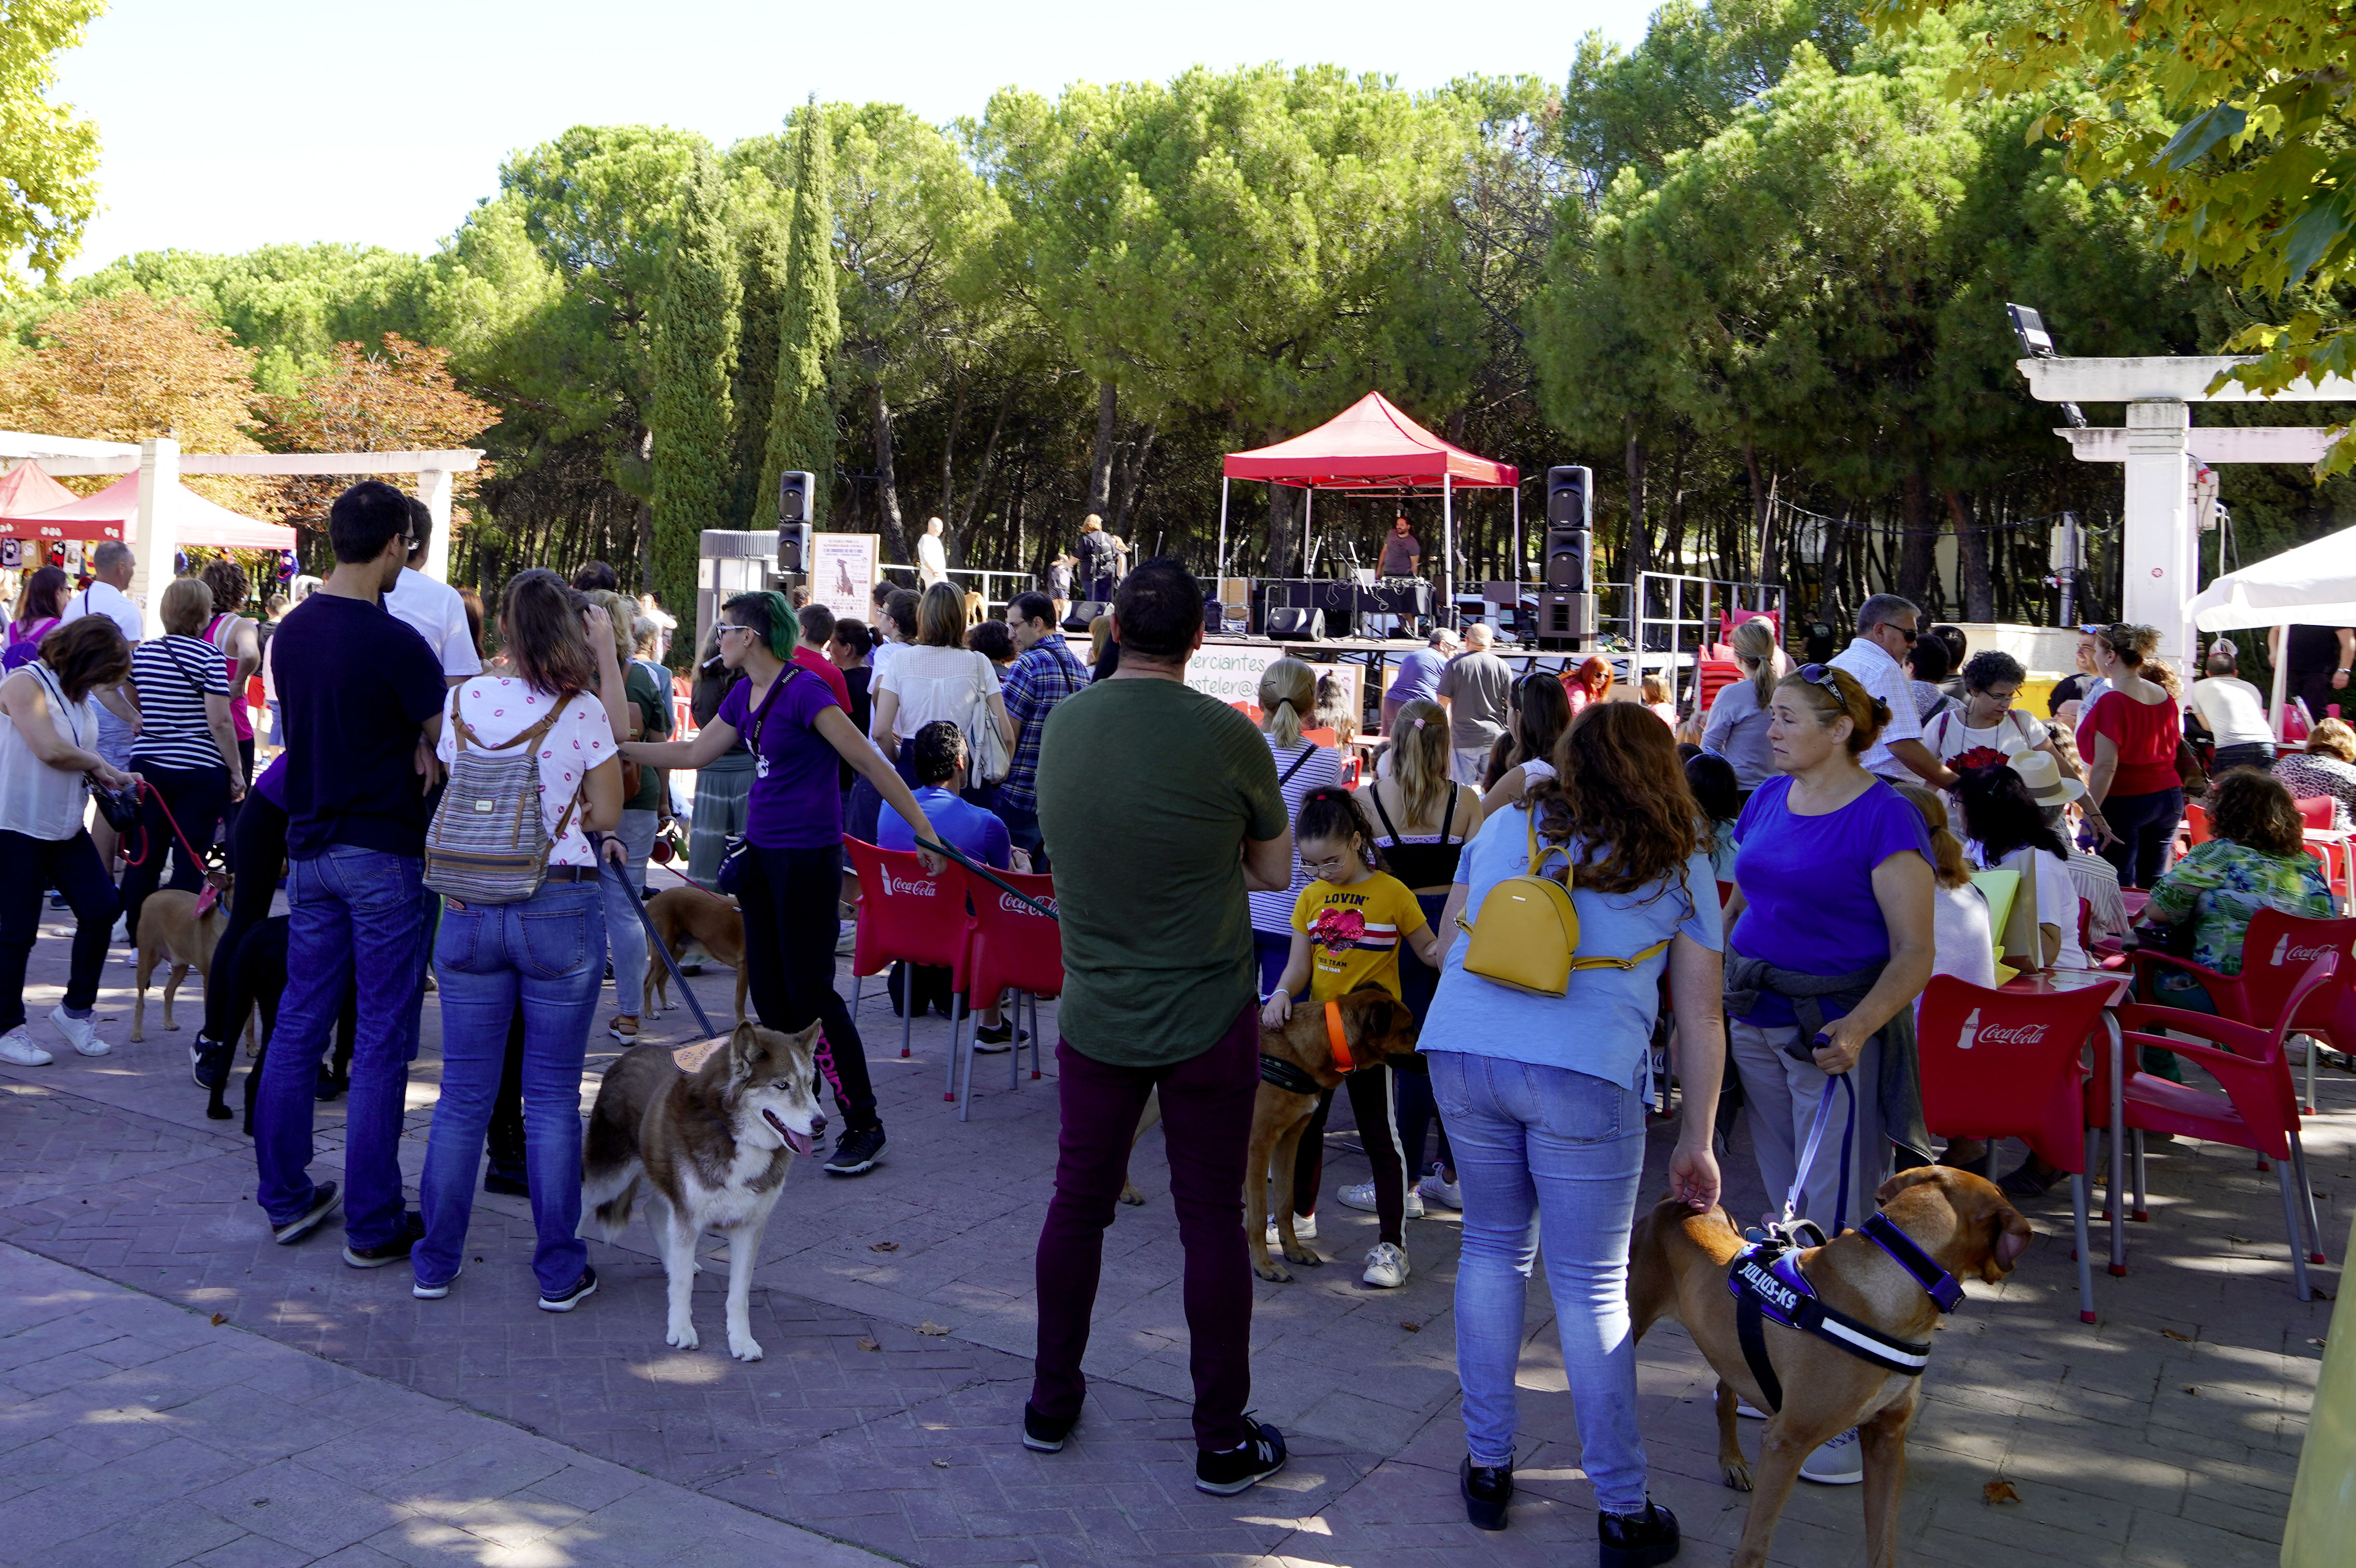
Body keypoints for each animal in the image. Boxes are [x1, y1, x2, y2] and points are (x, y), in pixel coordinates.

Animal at [131, 881, 234, 1042]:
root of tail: (153, 896)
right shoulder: (211, 980)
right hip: (148, 961)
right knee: (140, 1000)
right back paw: (137, 1033)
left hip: (181, 966)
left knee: (168, 992)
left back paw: (168, 1022)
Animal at [580, 1021, 825, 1361]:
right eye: (781, 1086)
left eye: (809, 1083)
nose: (821, 1124)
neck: (733, 1134)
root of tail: (629, 1055)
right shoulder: (688, 1214)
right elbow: (683, 1286)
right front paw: (681, 1330)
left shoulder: (748, 1226)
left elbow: (739, 1294)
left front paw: (742, 1341)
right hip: (611, 1178)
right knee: (579, 1204)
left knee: (653, 1211)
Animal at [641, 885, 748, 1026]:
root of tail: (654, 900)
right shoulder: (745, 967)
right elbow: (740, 1000)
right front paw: (742, 1021)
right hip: (662, 950)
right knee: (648, 983)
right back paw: (649, 1012)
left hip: (673, 954)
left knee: (661, 980)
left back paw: (665, 1005)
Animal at [1245, 986, 1422, 1282]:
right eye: (1409, 1029)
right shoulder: (1259, 1146)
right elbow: (1257, 1215)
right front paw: (1263, 1265)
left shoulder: (1288, 1142)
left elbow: (1285, 1202)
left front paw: (1293, 1250)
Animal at [1627, 1166, 2034, 1568]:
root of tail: (1675, 1202)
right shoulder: (1785, 1444)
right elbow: (1754, 1546)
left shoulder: (1886, 1443)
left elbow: (1883, 1543)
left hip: (1731, 1345)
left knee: (1724, 1395)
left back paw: (1731, 1461)